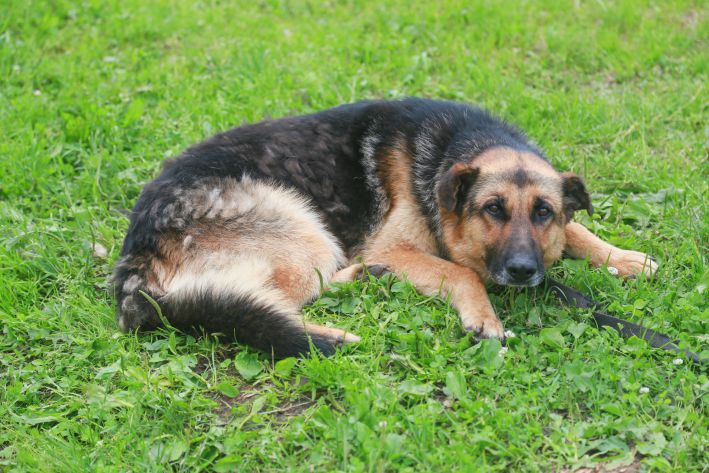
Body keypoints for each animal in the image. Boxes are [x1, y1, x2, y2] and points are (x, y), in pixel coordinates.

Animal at [112, 98, 660, 358]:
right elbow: (464, 272)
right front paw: (483, 315)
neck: (458, 147)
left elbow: (577, 232)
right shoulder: (393, 247)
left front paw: (623, 258)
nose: (525, 272)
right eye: (493, 209)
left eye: (543, 212)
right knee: (268, 304)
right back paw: (331, 333)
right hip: (304, 232)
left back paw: (362, 278)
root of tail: (134, 263)